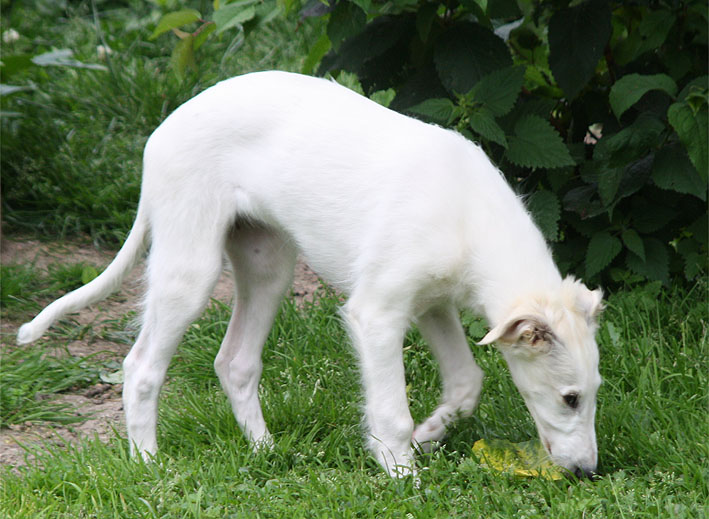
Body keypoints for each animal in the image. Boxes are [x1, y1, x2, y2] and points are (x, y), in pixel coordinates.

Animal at [18, 71, 603, 479]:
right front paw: (402, 474)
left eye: (594, 391)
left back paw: (266, 452)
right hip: (191, 267)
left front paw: (426, 437)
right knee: (141, 368)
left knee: (235, 362)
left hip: (267, 264)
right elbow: (390, 410)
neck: (469, 216)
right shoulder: (377, 312)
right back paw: (148, 465)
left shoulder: (432, 303)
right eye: (571, 398)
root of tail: (160, 133)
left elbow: (466, 383)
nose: (586, 473)